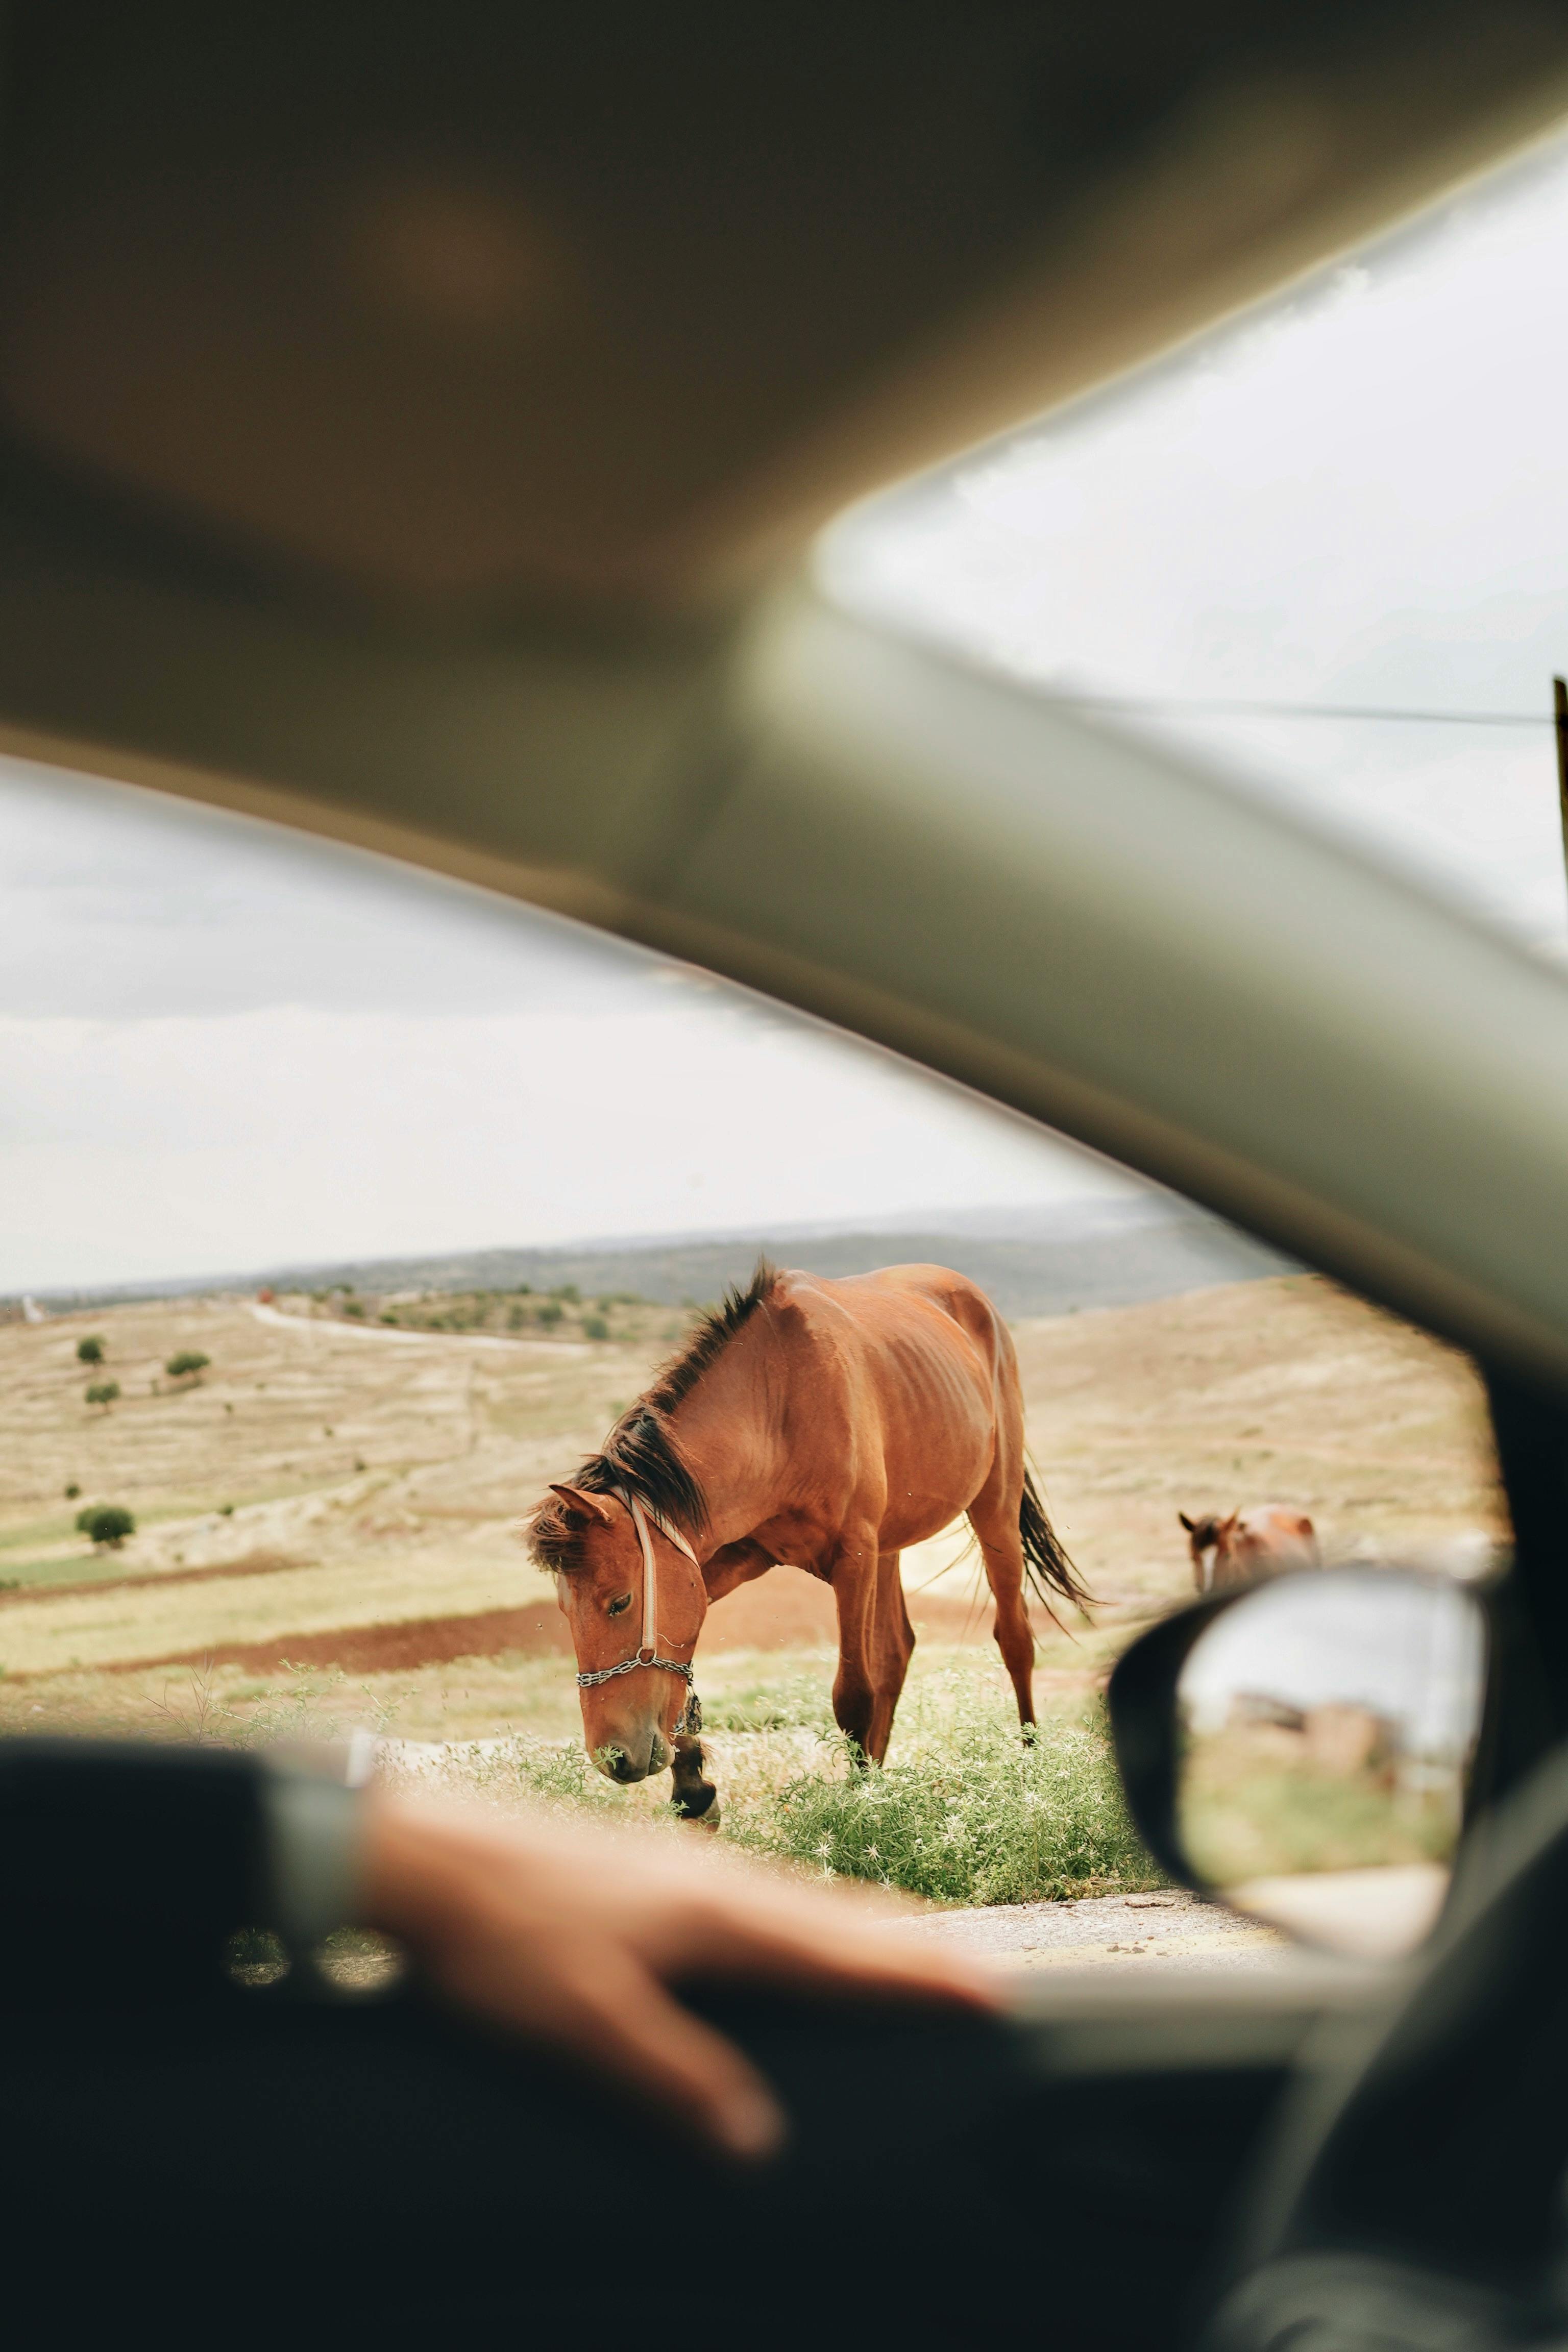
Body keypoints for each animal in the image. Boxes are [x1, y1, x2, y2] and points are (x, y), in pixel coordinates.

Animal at [528, 1260, 1088, 1822]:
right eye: (564, 1611)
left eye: (619, 1602)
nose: (613, 1759)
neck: (779, 1408)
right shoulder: (730, 1560)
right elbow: (680, 1673)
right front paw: (693, 1787)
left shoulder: (854, 1557)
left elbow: (854, 1694)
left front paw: (860, 1808)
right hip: (890, 1548)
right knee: (897, 1652)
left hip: (994, 1510)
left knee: (1013, 1639)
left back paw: (1030, 1767)